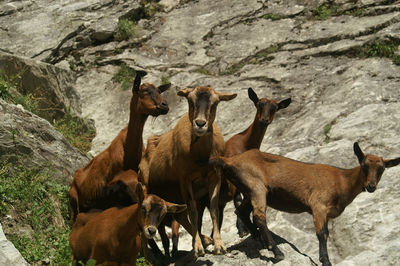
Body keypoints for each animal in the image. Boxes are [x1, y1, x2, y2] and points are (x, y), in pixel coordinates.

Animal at [139, 86, 236, 256]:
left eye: (215, 102)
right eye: (190, 100)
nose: (200, 123)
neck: (201, 156)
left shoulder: (214, 177)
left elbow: (214, 209)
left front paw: (219, 245)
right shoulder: (185, 180)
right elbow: (193, 212)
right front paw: (198, 247)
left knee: (180, 215)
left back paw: (206, 240)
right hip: (148, 187)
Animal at [197, 87, 290, 237]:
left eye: (275, 108)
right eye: (259, 104)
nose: (264, 120)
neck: (244, 144)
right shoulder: (233, 179)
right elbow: (238, 200)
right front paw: (243, 229)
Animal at [211, 143, 398, 266]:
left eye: (381, 169)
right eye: (364, 166)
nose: (371, 186)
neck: (341, 180)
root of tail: (229, 161)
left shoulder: (327, 213)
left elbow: (326, 233)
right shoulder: (318, 206)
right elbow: (322, 234)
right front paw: (326, 261)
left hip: (250, 190)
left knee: (241, 212)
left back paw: (260, 240)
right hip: (256, 187)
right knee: (259, 217)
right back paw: (277, 252)